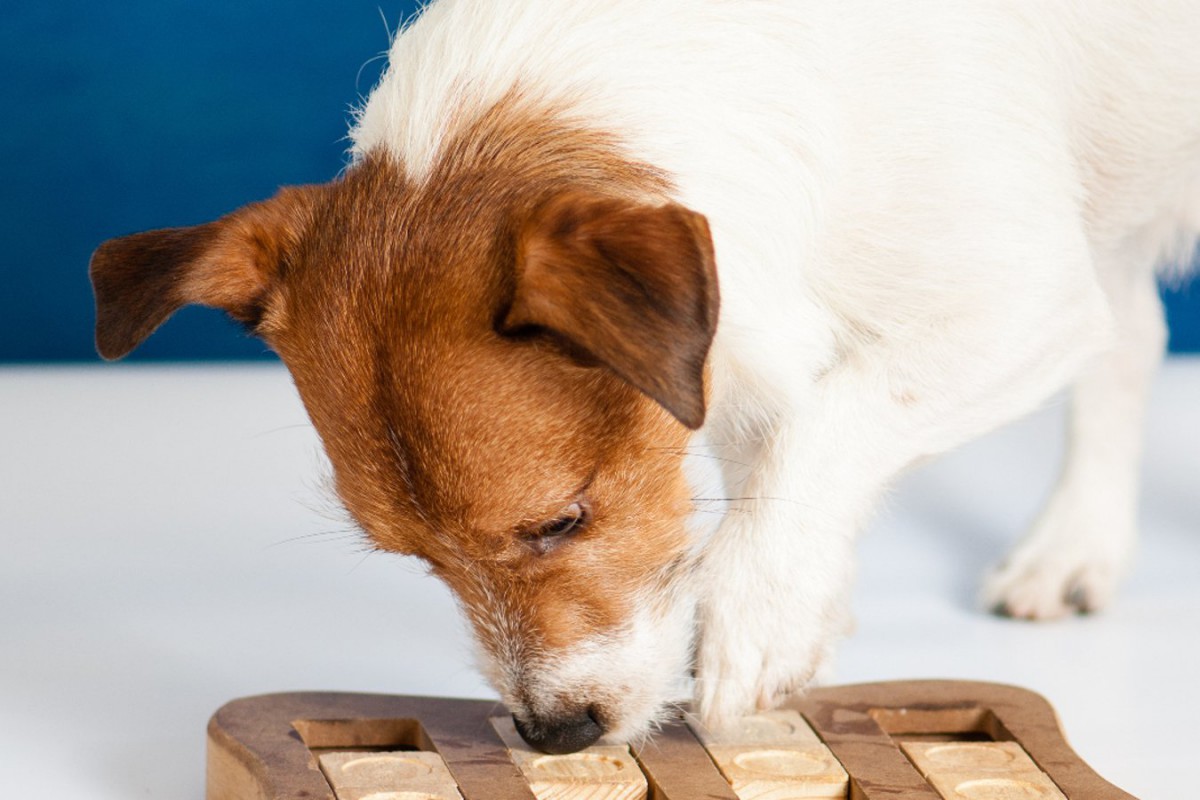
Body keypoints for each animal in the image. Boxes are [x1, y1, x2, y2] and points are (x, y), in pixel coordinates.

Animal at [88, 0, 1195, 753]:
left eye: (561, 520)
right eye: (417, 560)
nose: (553, 734)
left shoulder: (1025, 303)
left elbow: (827, 429)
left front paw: (759, 617)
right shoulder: (744, 366)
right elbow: (774, 464)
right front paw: (802, 610)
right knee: (1137, 335)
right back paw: (1075, 548)